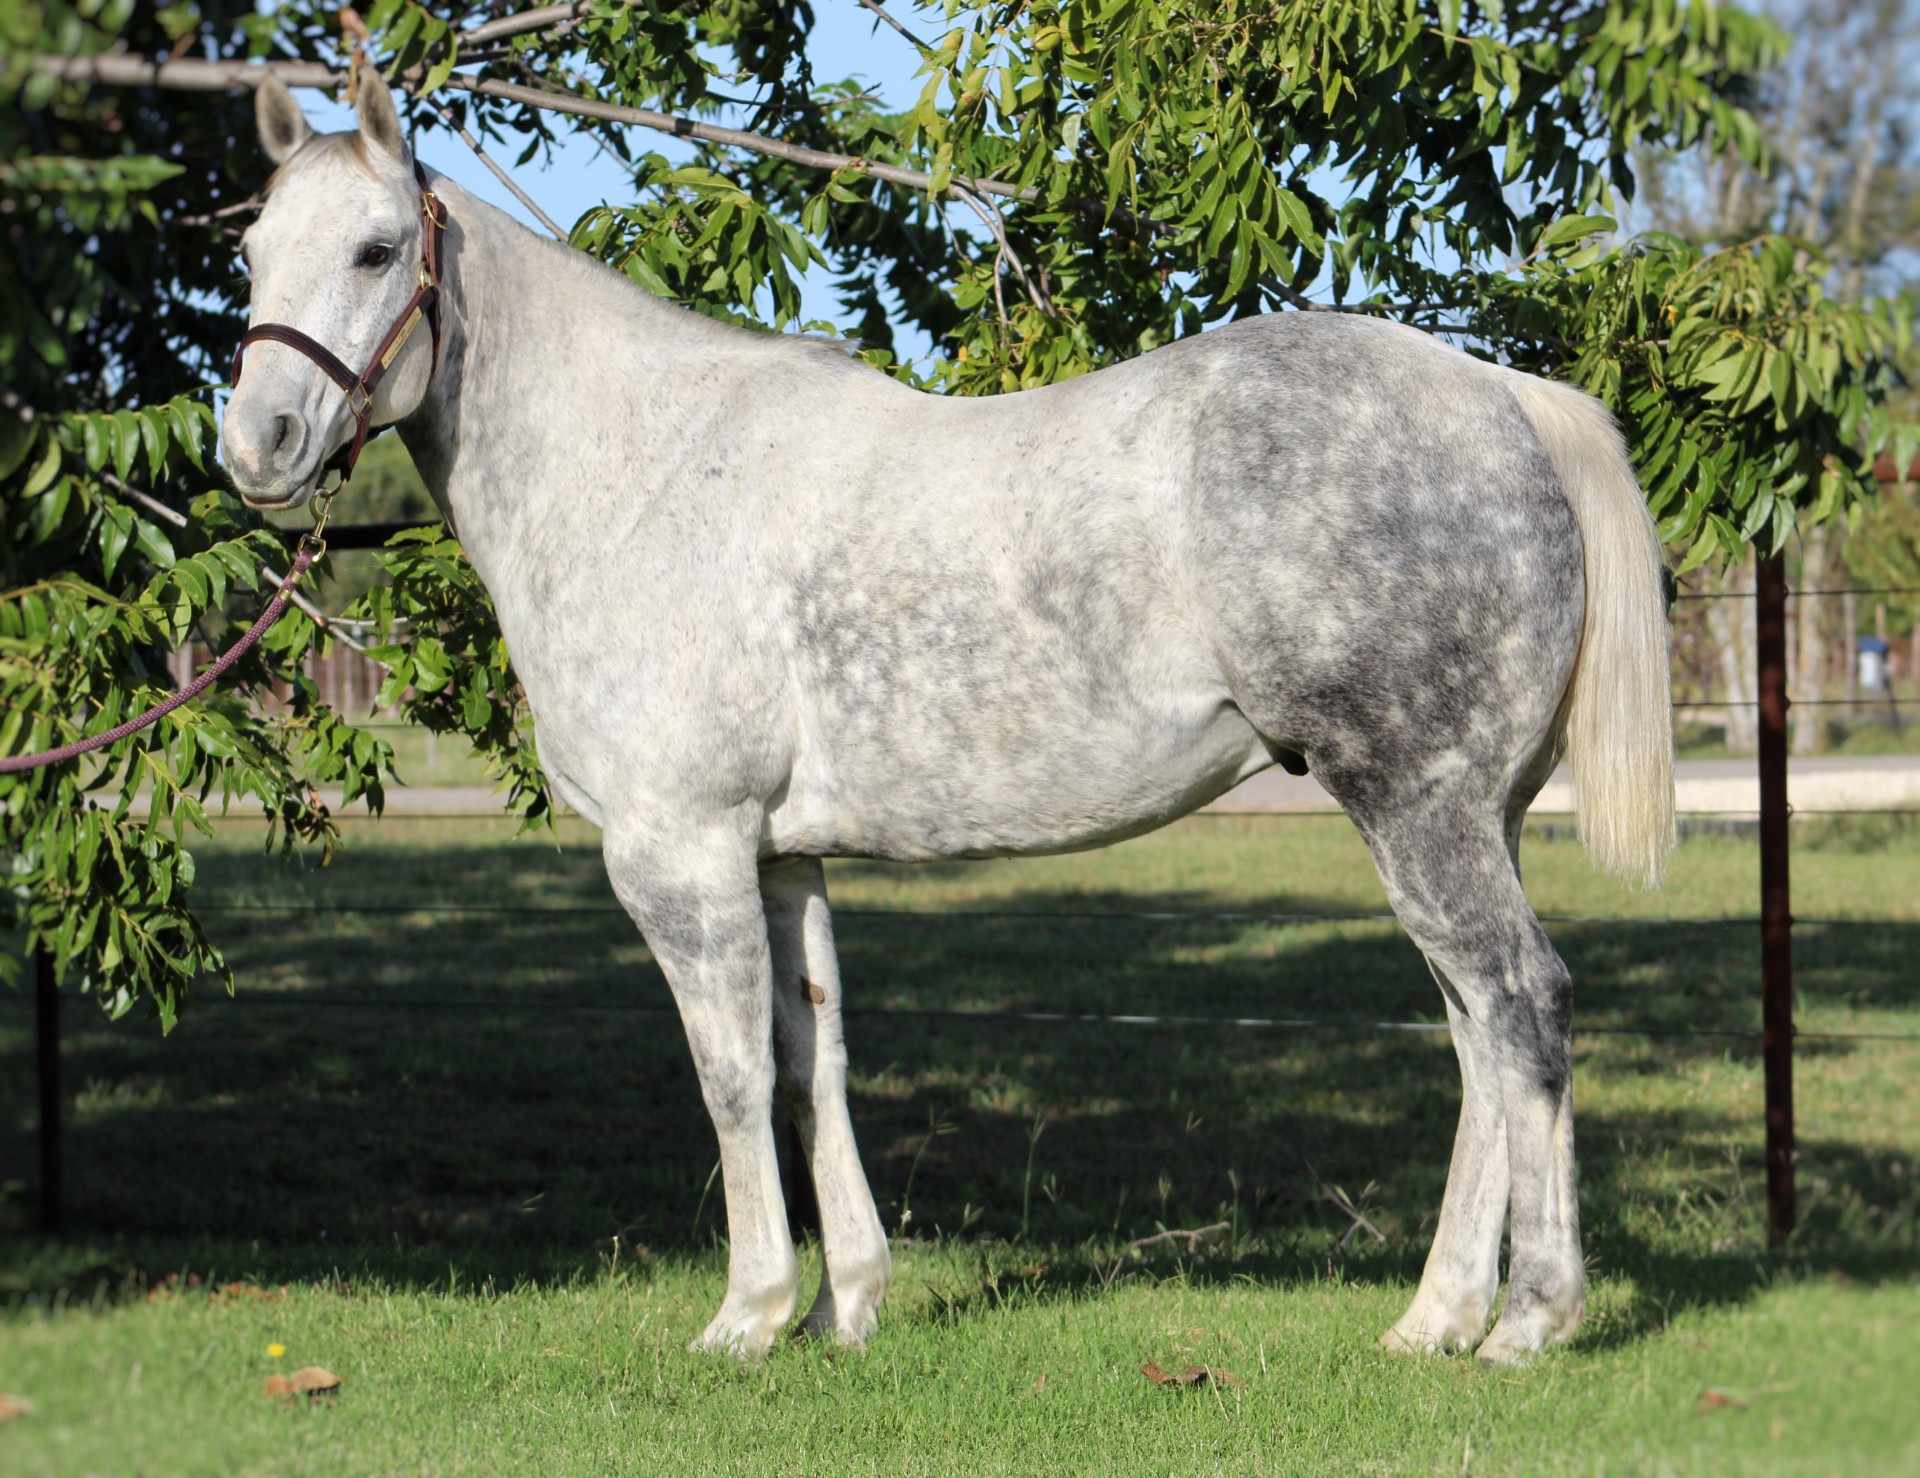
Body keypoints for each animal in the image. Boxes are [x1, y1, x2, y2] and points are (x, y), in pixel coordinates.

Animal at [222, 77, 1674, 1364]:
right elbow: (812, 1055)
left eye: (376, 247)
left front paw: (747, 1314)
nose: (257, 446)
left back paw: (1530, 1318)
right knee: (1476, 1031)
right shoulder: (779, 855)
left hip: (1416, 804)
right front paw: (846, 1304)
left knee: (1521, 1007)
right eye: (250, 250)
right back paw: (1436, 1318)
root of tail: (1501, 394)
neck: (639, 474)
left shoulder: (679, 852)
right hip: (1466, 814)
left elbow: (729, 1072)